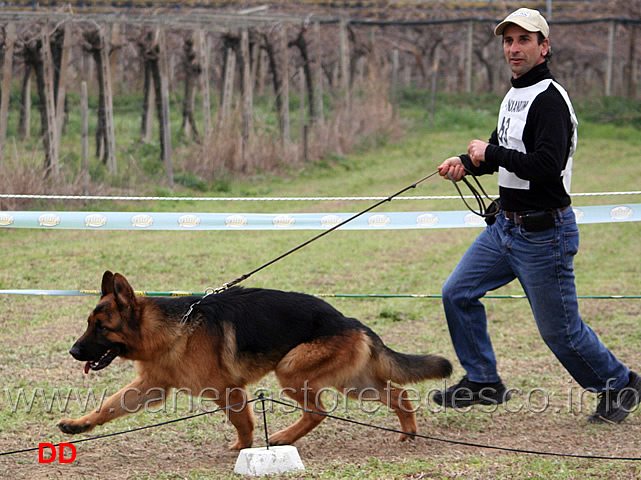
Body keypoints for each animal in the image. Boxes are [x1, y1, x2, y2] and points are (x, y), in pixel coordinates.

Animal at [58, 274, 450, 450]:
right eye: (88, 324)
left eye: (101, 327)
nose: (74, 352)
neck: (172, 329)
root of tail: (350, 321)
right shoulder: (148, 388)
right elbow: (108, 406)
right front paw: (79, 425)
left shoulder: (227, 390)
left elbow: (242, 421)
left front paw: (244, 449)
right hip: (353, 382)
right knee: (398, 395)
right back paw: (409, 432)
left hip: (291, 370)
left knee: (317, 411)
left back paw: (282, 437)